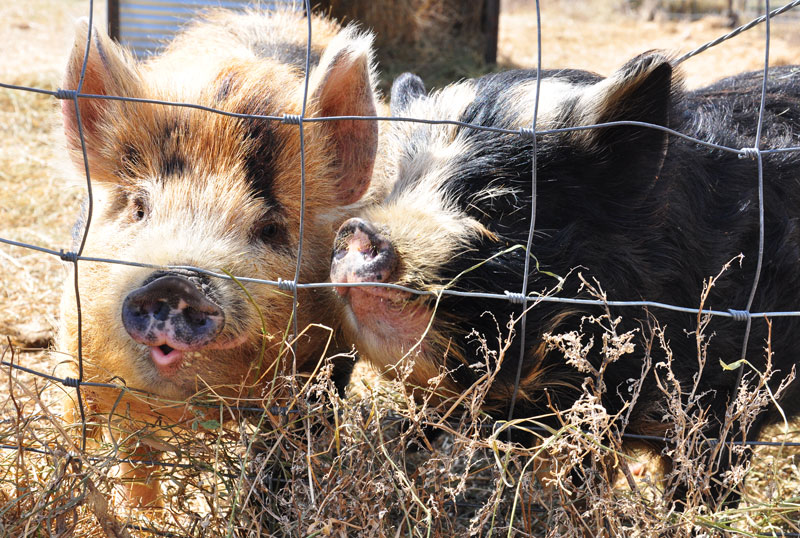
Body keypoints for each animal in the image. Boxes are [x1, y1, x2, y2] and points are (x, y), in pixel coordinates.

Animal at [58, 8, 380, 507]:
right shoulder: (81, 354)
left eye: (270, 227)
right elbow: (133, 455)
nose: (175, 281)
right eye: (139, 207)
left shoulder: (325, 367)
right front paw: (141, 514)